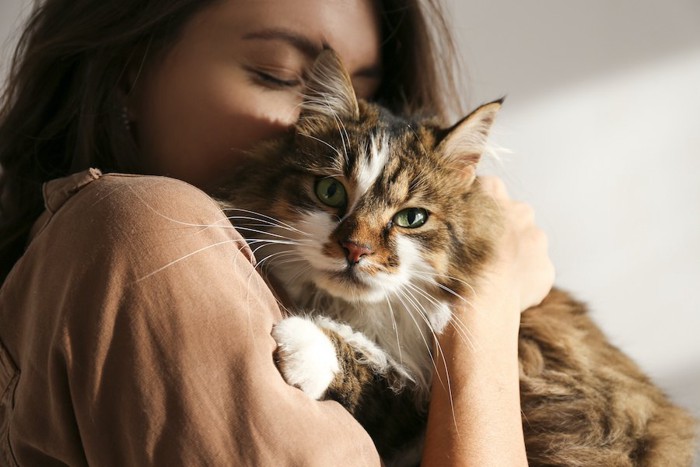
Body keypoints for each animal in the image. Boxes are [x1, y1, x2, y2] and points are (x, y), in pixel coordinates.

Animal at [216, 51, 696, 467]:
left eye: (411, 218)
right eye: (330, 192)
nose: (356, 250)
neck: (363, 314)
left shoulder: (422, 400)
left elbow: (377, 374)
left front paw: (305, 343)